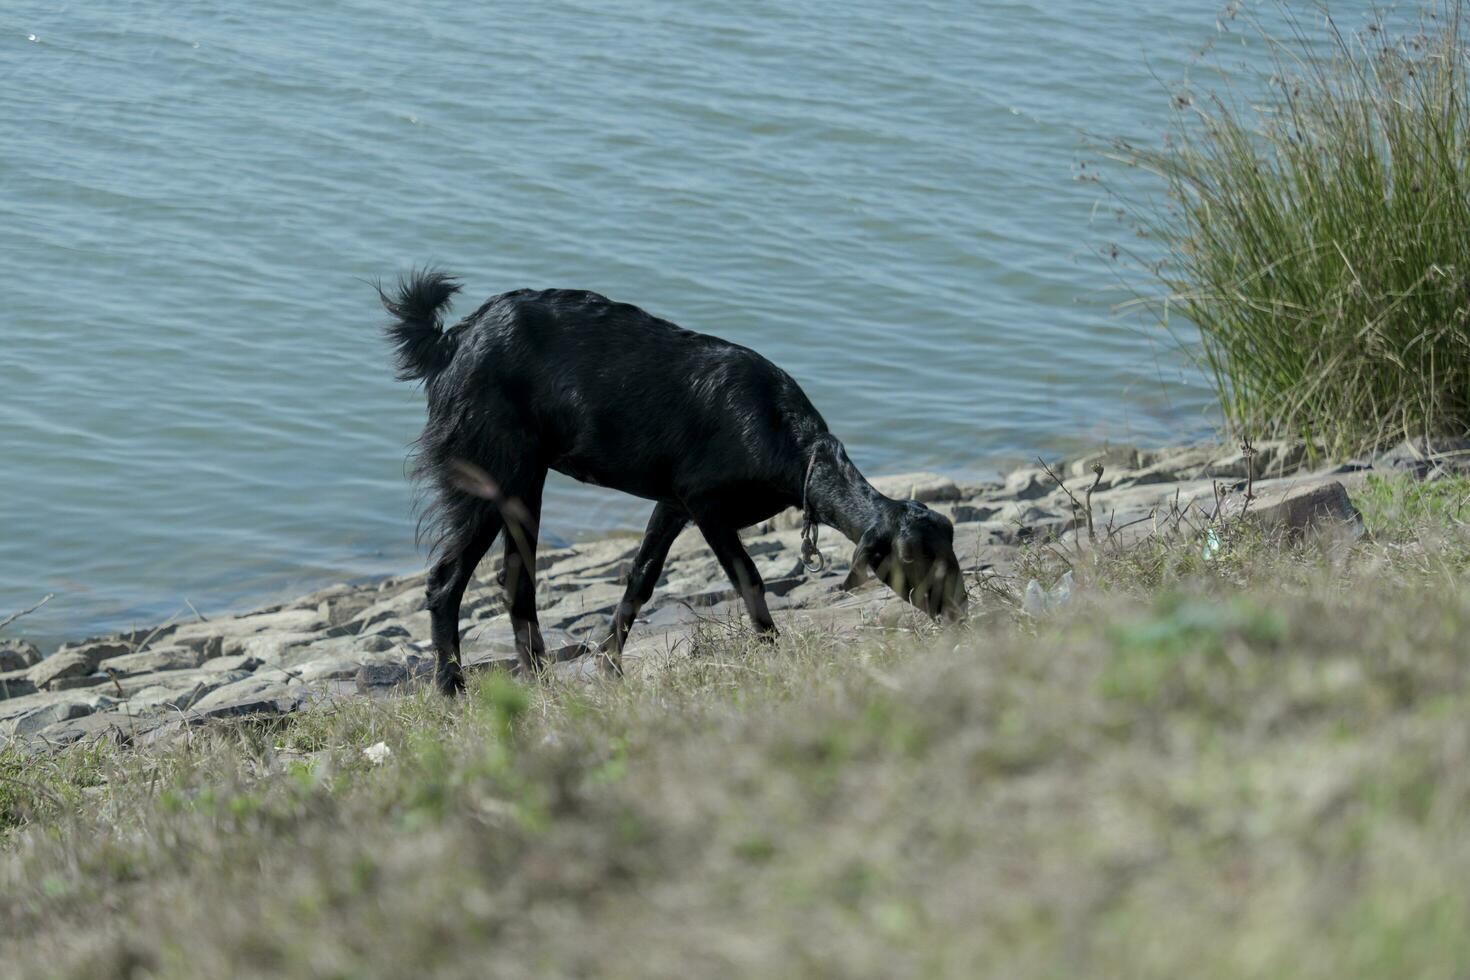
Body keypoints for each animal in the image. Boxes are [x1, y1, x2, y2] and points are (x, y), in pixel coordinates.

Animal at [385, 271, 970, 693]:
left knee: (517, 583)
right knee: (446, 582)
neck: (782, 434)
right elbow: (748, 578)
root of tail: (453, 340)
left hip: (522, 483)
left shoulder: (672, 501)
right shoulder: (704, 503)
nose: (963, 613)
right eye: (913, 557)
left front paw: (608, 664)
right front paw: (772, 651)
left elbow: (641, 578)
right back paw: (452, 689)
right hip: (489, 473)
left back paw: (541, 679)